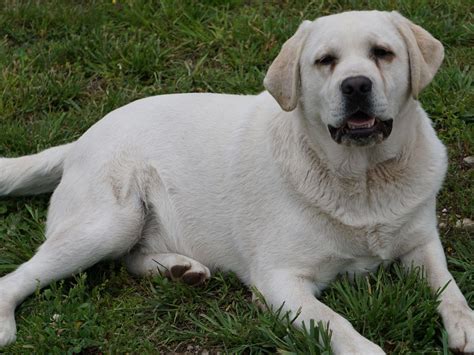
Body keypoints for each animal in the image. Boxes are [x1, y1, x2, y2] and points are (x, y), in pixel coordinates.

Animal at [0, 9, 474, 354]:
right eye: (325, 61)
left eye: (382, 52)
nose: (356, 86)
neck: (362, 178)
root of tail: (80, 139)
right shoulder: (280, 280)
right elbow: (337, 324)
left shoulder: (421, 243)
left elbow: (449, 287)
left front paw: (465, 325)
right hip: (110, 220)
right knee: (20, 277)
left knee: (130, 259)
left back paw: (180, 269)